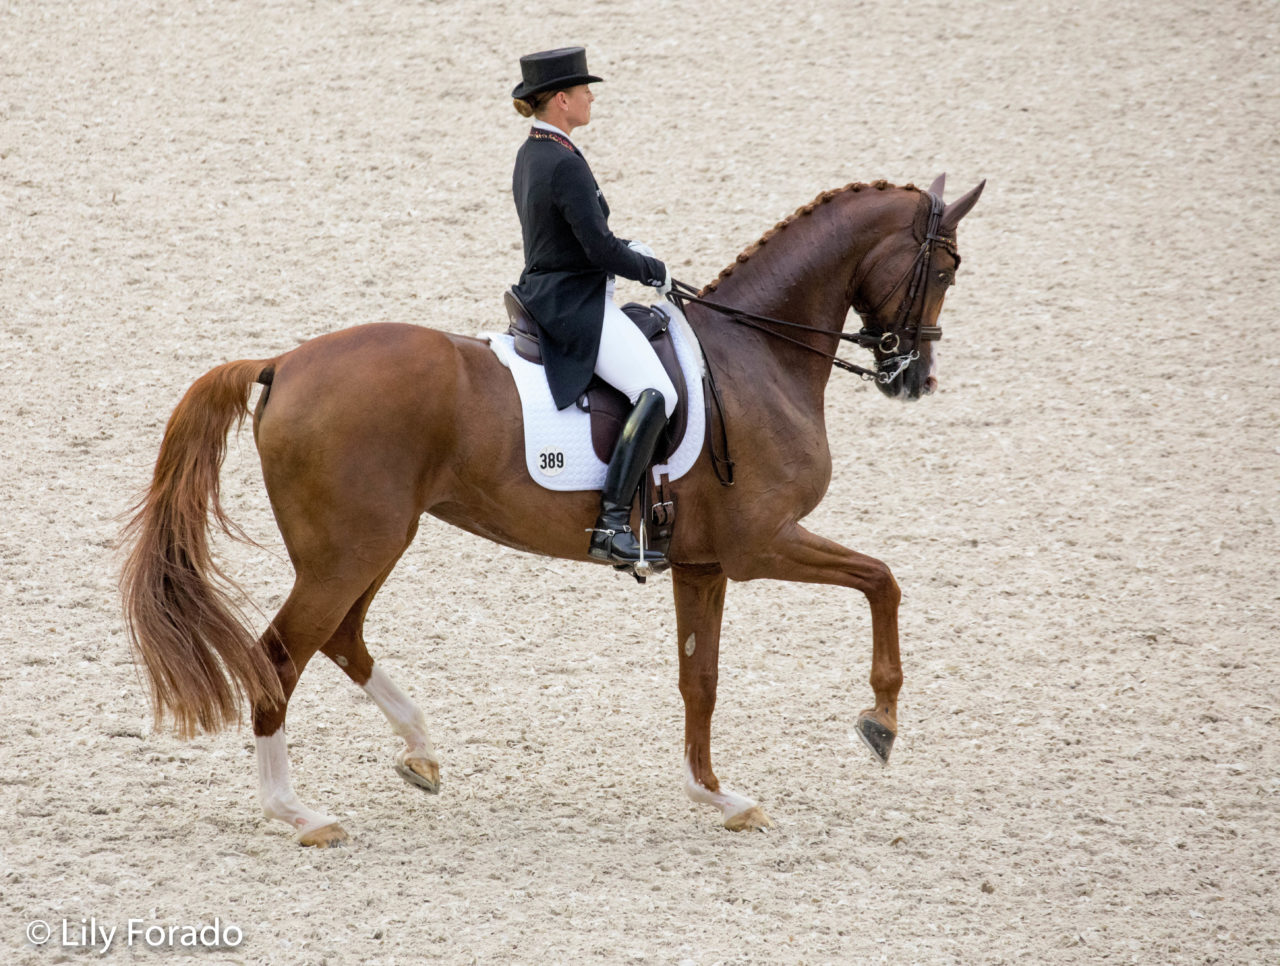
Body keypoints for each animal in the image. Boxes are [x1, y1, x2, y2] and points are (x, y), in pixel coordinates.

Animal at [120, 175, 983, 844]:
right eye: (947, 266)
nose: (913, 377)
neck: (755, 356)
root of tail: (282, 364)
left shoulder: (702, 563)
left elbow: (699, 679)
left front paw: (718, 796)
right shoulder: (761, 544)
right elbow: (882, 579)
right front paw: (881, 720)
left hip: (370, 544)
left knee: (340, 638)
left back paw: (420, 751)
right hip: (351, 550)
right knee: (278, 656)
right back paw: (297, 812)